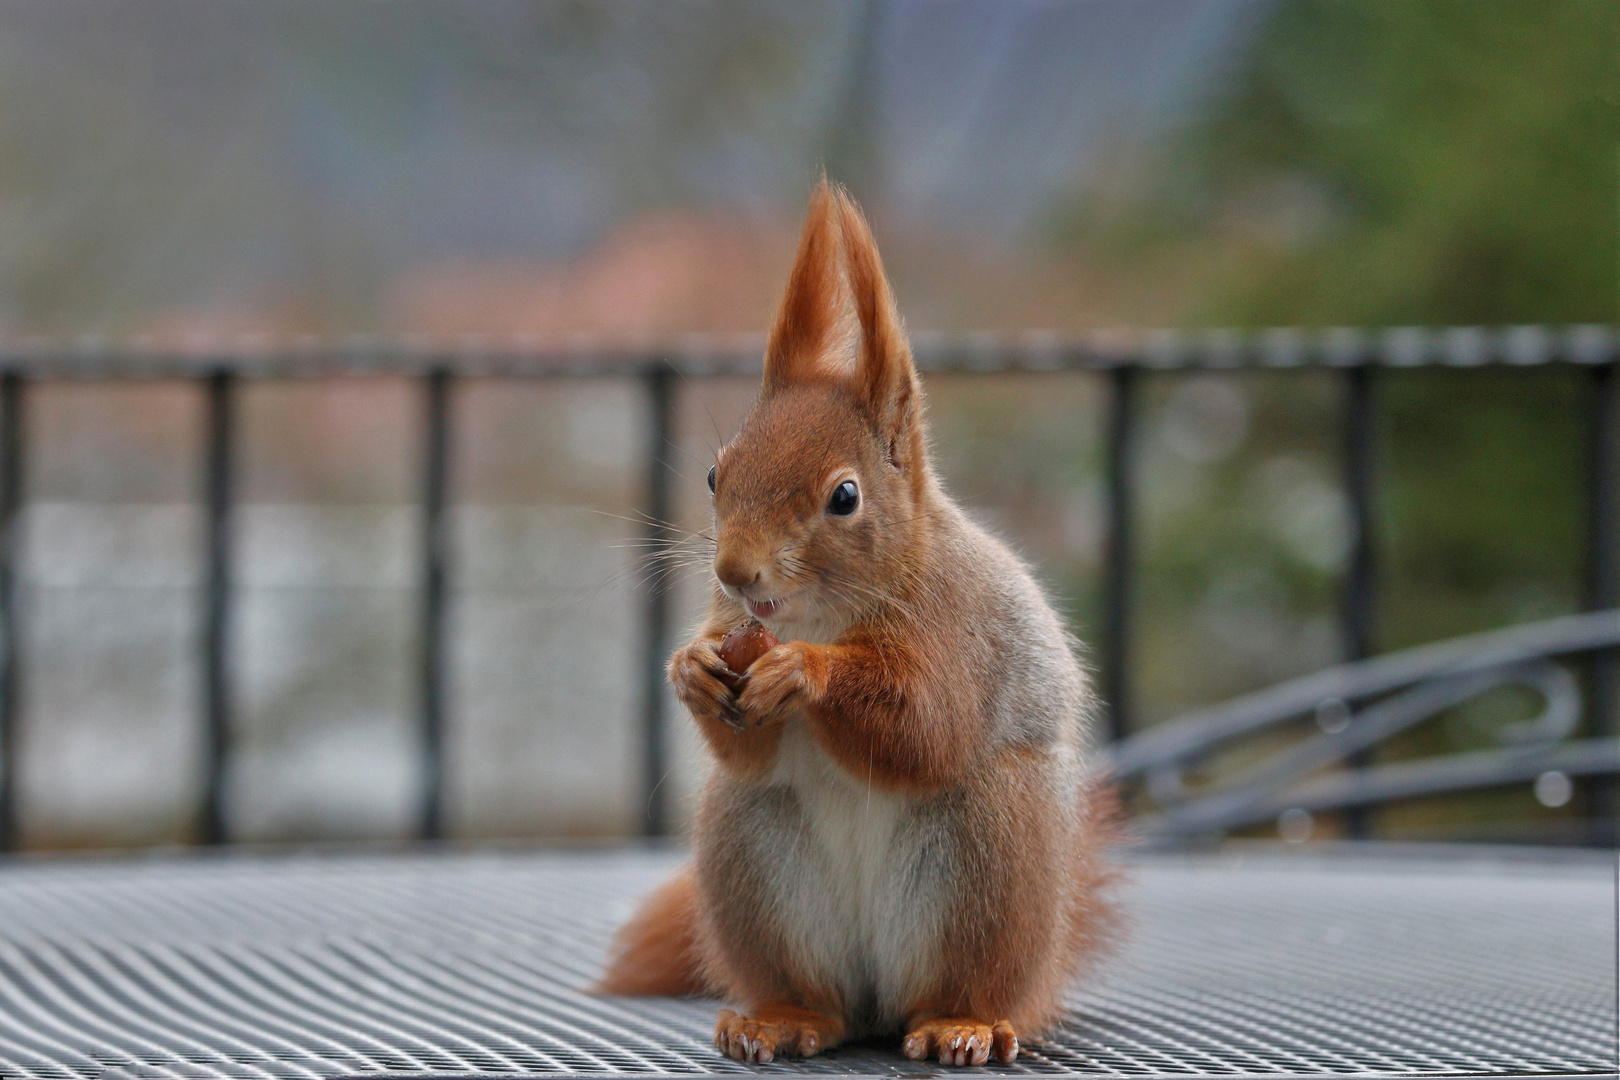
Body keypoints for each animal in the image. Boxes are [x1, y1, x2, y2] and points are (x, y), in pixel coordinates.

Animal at [602, 181, 1121, 1068]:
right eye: (714, 472)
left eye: (844, 496)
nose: (734, 573)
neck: (820, 615)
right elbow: (742, 741)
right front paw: (691, 669)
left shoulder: (957, 629)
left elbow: (927, 727)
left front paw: (804, 673)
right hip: (749, 849)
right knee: (822, 999)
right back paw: (783, 1017)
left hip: (991, 853)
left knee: (963, 982)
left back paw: (959, 1023)